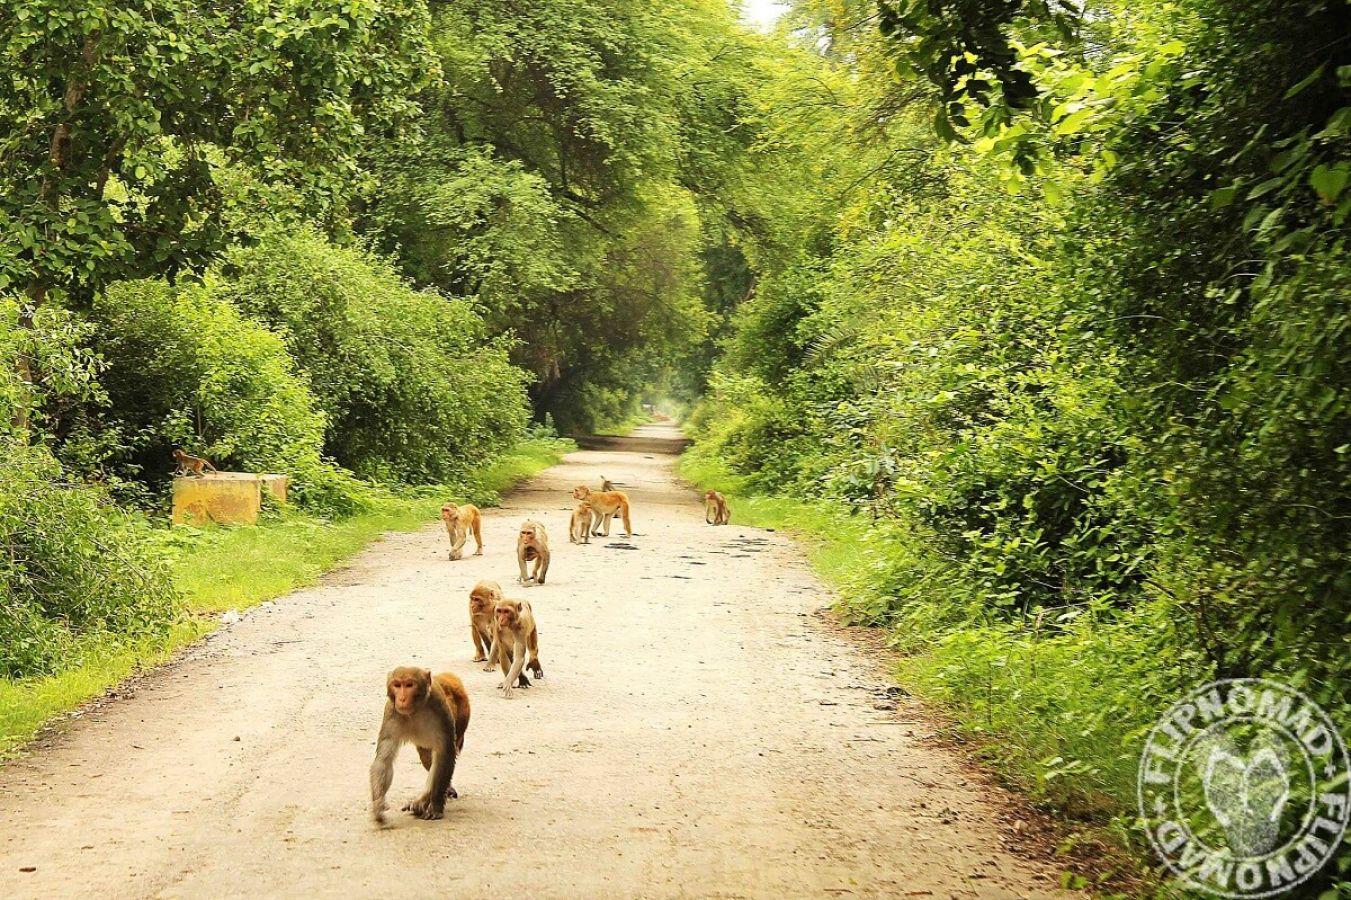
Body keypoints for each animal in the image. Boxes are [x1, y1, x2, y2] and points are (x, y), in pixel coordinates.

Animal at [370, 662, 470, 821]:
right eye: (397, 685)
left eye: (409, 685)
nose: (402, 699)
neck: (416, 709)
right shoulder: (391, 712)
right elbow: (384, 759)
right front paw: (378, 804)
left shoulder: (440, 708)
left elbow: (445, 752)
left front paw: (435, 806)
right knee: (426, 757)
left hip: (463, 714)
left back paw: (426, 799)